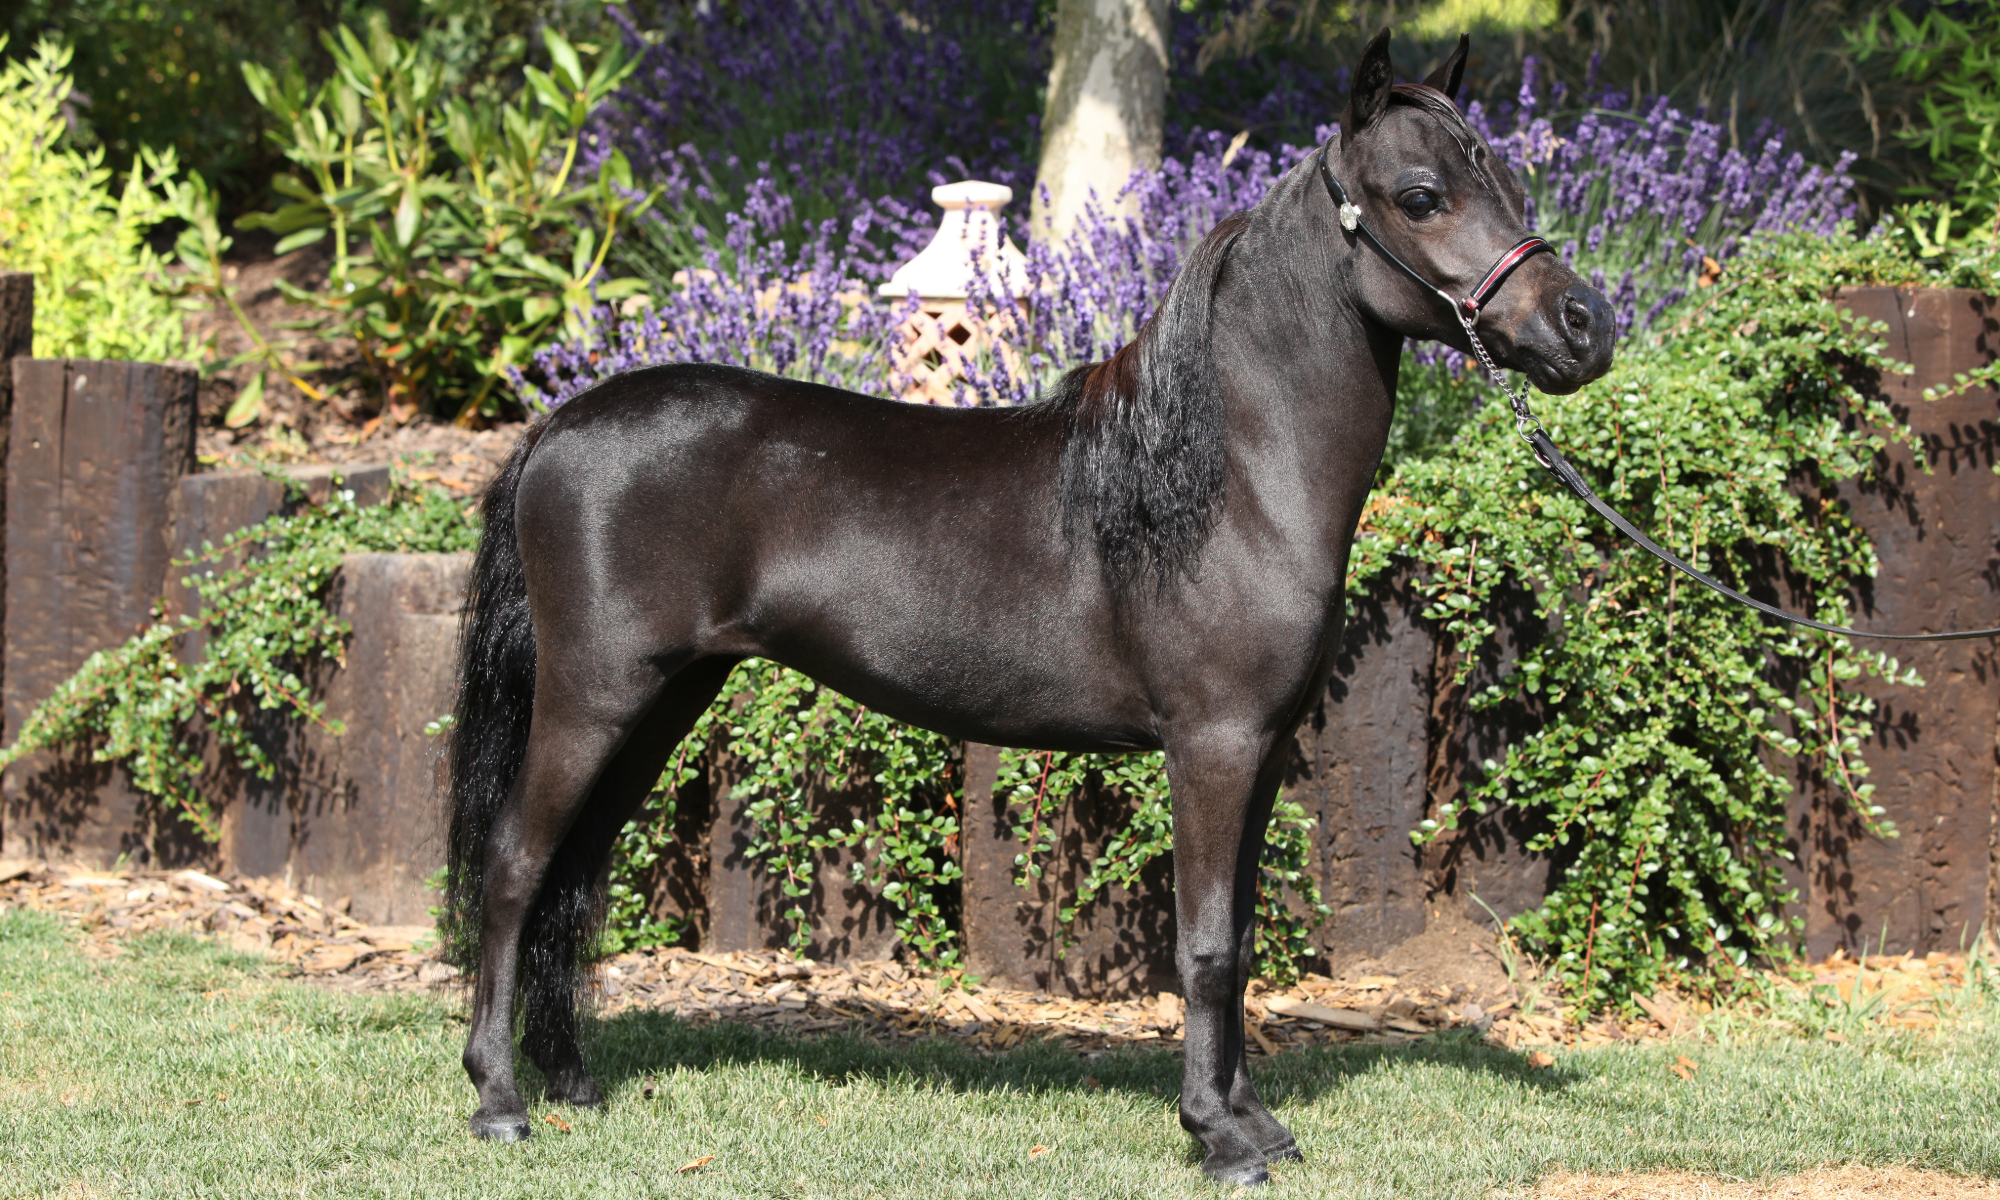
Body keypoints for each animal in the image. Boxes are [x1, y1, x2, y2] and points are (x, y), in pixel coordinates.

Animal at [442, 29, 1616, 1186]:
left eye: (1512, 184)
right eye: (1420, 195)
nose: (1586, 325)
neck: (1226, 481)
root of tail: (561, 425)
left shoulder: (1265, 746)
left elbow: (1236, 940)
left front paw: (1254, 1120)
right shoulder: (1213, 746)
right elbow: (1205, 946)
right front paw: (1218, 1135)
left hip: (663, 700)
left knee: (572, 872)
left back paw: (572, 1080)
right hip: (594, 696)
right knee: (514, 868)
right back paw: (499, 1100)